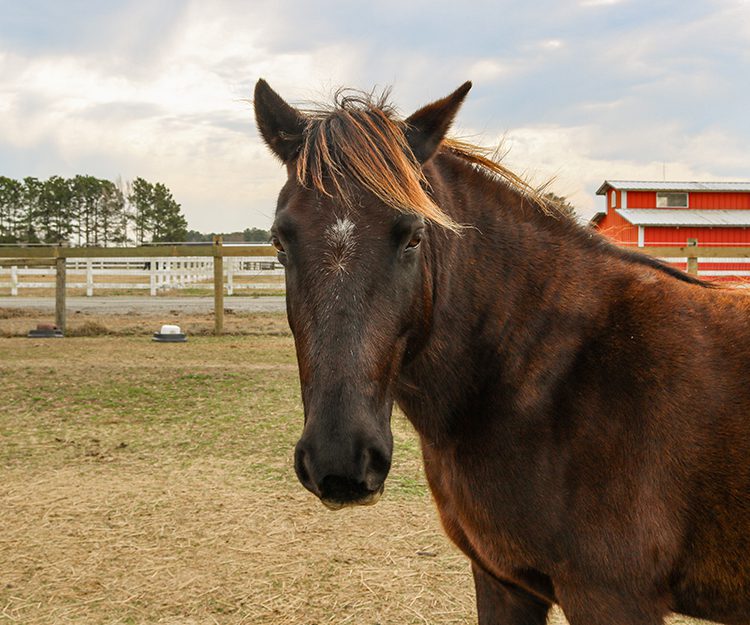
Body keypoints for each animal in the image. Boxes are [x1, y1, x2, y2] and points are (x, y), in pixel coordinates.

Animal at [253, 79, 750, 624]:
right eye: (279, 242)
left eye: (413, 237)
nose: (339, 460)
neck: (546, 373)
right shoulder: (503, 581)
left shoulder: (611, 596)